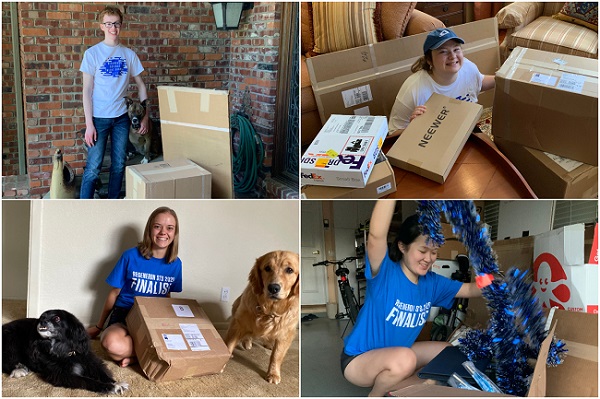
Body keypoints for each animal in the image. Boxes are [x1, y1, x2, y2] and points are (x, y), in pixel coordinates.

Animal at [225, 252, 300, 386]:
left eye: (290, 270)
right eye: (267, 268)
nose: (273, 288)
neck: (269, 310)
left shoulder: (286, 333)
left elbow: (277, 355)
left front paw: (273, 374)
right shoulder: (238, 322)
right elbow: (229, 343)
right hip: (236, 307)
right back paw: (247, 342)